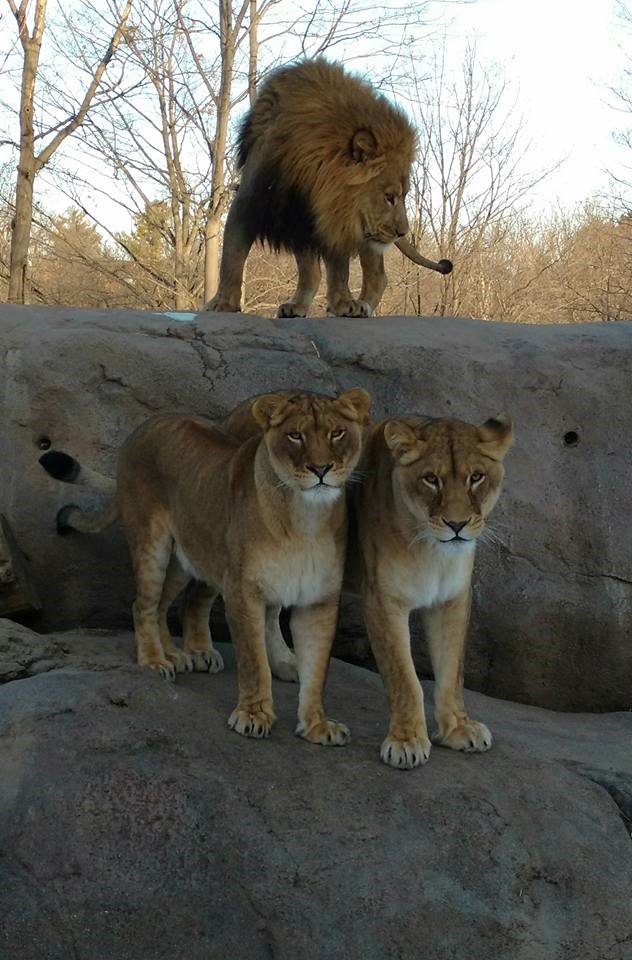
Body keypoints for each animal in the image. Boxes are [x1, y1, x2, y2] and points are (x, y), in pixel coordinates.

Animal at [39, 386, 372, 748]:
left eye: (337, 433)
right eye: (295, 436)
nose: (320, 468)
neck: (306, 518)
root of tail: (142, 428)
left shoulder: (319, 600)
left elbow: (317, 668)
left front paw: (317, 725)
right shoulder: (243, 591)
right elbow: (253, 661)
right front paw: (253, 716)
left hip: (193, 554)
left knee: (172, 603)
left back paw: (181, 654)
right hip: (154, 545)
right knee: (143, 604)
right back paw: (155, 661)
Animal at [205, 56, 452, 318]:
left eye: (403, 195)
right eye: (389, 196)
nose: (402, 233)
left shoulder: (337, 216)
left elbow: (339, 268)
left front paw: (344, 303)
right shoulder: (253, 200)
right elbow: (232, 258)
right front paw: (223, 303)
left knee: (377, 277)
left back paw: (364, 306)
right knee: (313, 273)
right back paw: (297, 306)